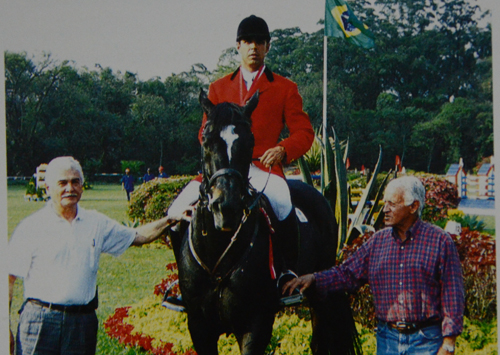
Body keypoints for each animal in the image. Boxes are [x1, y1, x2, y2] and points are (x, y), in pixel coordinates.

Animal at [168, 90, 360, 354]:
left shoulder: (255, 323)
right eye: (205, 139)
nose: (226, 208)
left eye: (250, 142)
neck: (219, 247)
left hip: (320, 291)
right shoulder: (199, 326)